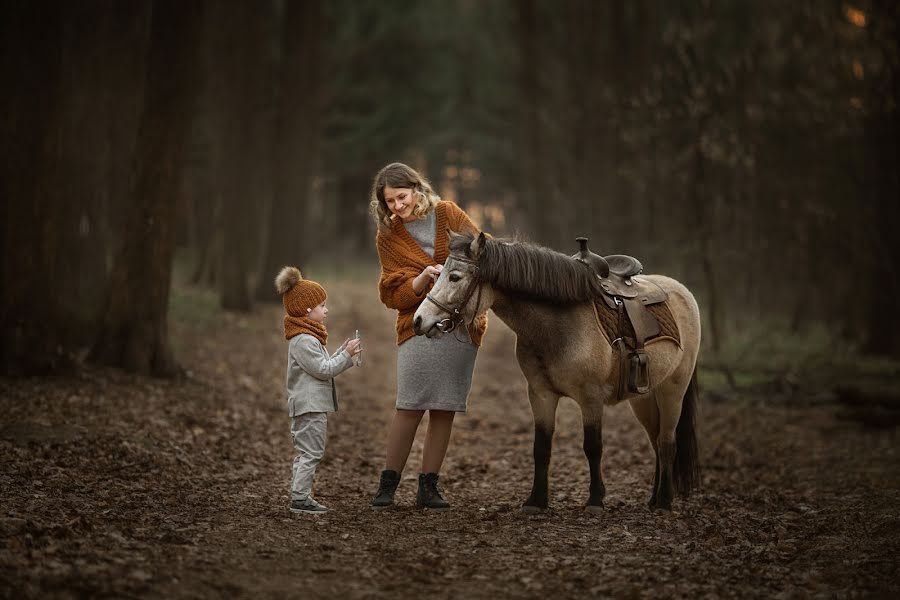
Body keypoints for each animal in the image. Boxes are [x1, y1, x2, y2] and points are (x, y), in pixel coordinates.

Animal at [412, 232, 700, 512]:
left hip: (672, 391)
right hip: (644, 398)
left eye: (455, 277)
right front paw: (536, 501)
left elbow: (593, 447)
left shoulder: (591, 398)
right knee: (655, 441)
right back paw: (654, 499)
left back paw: (664, 502)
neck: (557, 323)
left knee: (666, 443)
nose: (419, 320)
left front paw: (595, 501)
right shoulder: (541, 394)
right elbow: (541, 447)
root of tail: (683, 292)